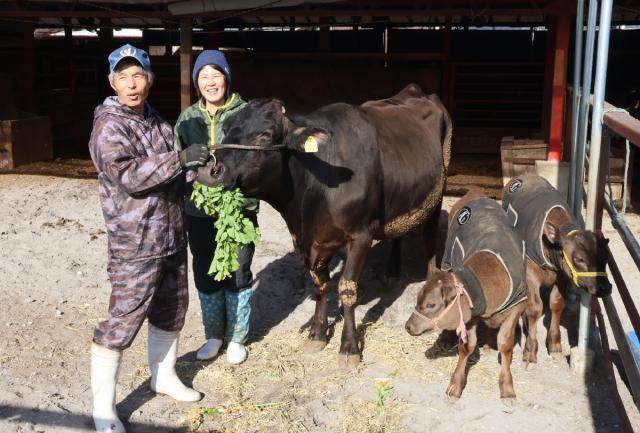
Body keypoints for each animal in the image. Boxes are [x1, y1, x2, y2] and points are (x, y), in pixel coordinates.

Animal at [198, 83, 452, 364]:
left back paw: (431, 276)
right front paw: (317, 334)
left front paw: (349, 347)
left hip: (439, 188)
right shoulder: (311, 241)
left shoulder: (361, 235)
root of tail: (415, 90)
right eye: (227, 127)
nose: (209, 171)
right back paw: (392, 270)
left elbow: (347, 288)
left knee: (430, 234)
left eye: (264, 135)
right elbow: (320, 285)